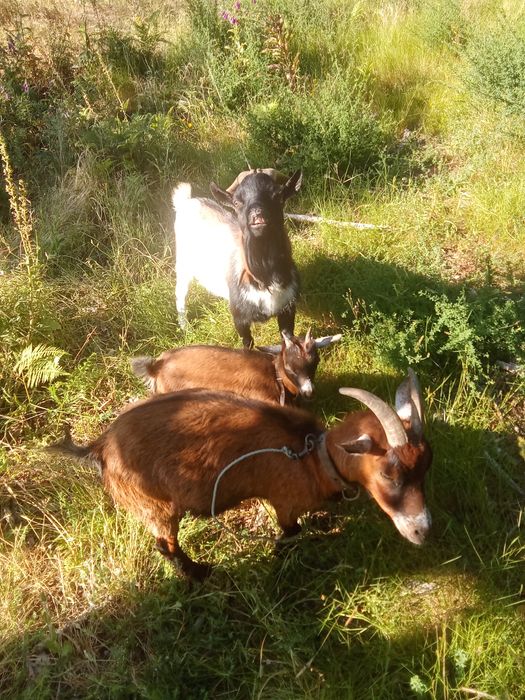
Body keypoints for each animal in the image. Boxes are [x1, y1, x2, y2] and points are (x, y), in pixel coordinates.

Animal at [49, 370, 432, 581]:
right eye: (389, 474)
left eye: (426, 467)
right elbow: (290, 532)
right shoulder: (284, 501)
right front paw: (281, 556)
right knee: (164, 543)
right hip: (154, 505)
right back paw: (199, 574)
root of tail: (101, 446)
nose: (423, 531)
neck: (312, 458)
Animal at [174, 168, 302, 348]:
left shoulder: (288, 308)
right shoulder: (239, 317)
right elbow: (247, 343)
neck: (264, 276)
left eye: (278, 195)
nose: (257, 214)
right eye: (236, 202)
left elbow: (289, 338)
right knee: (180, 294)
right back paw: (185, 327)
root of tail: (186, 202)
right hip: (183, 264)